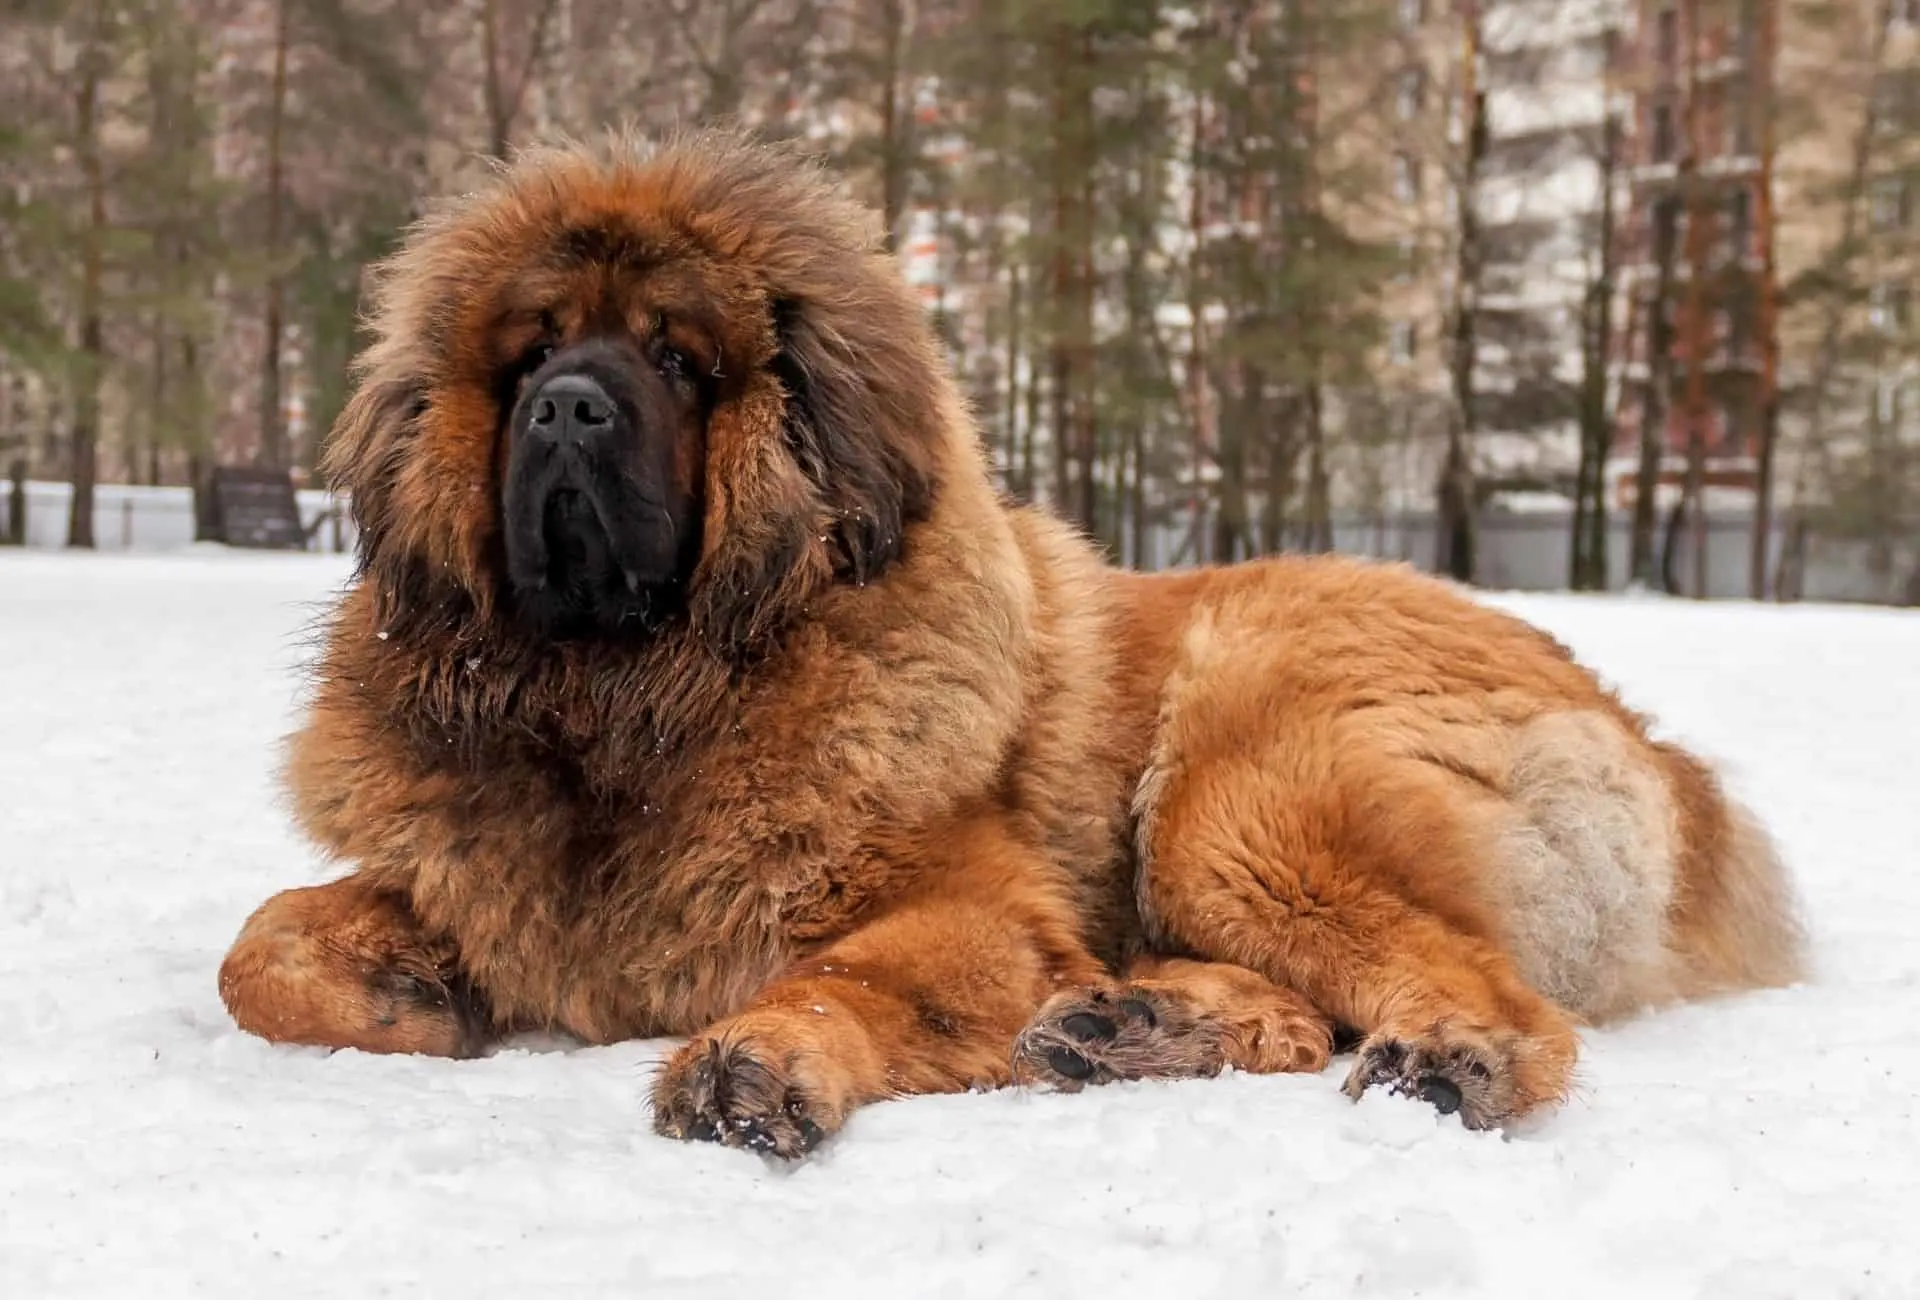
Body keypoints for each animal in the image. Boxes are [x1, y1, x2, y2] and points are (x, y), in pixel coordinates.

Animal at [217, 126, 1804, 1152]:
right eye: (534, 354)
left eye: (676, 359)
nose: (567, 408)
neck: (635, 704)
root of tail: (1667, 761)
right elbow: (256, 948)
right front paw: (408, 989)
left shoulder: (972, 910)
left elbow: (839, 973)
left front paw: (755, 1058)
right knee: (1301, 1012)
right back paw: (1138, 1025)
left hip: (1238, 797)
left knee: (1489, 997)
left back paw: (1441, 1057)